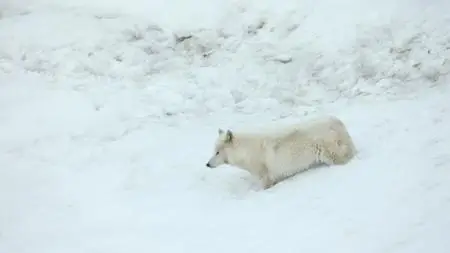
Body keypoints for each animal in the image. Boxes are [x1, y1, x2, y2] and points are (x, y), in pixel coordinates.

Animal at [206, 115, 356, 189]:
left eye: (217, 152)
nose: (207, 164)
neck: (245, 151)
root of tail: (337, 122)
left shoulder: (265, 175)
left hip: (329, 154)